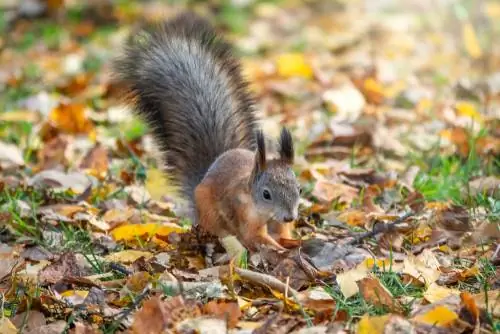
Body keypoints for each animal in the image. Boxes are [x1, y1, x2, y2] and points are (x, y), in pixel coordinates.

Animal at [112, 12, 300, 250]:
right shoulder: (243, 215)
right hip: (210, 213)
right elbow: (254, 237)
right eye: (266, 194)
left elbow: (283, 233)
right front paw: (280, 249)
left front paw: (295, 241)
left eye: (299, 189)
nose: (289, 217)